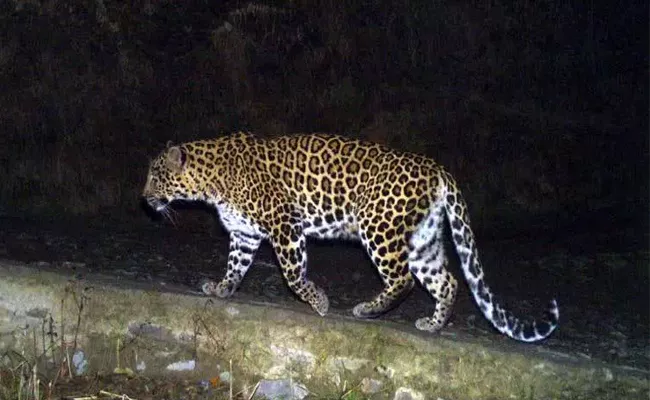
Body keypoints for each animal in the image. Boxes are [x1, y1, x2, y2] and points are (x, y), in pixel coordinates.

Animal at [142, 133, 556, 342]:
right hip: (423, 239)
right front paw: (222, 289)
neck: (210, 180)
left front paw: (319, 302)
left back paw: (367, 309)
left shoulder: (284, 223)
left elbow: (293, 274)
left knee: (403, 279)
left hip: (378, 226)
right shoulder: (244, 233)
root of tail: (436, 168)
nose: (144, 198)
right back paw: (433, 325)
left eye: (156, 176)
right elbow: (235, 267)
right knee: (447, 280)